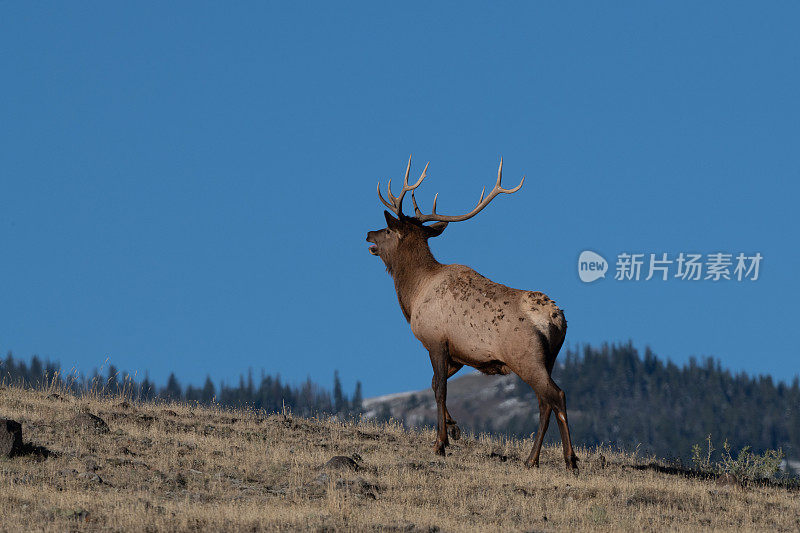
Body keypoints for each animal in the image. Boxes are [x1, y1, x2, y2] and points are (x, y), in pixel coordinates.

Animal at [366, 156, 580, 468]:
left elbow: (440, 388)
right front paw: (454, 429)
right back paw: (532, 459)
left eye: (388, 230)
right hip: (549, 358)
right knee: (545, 401)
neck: (414, 294)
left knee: (556, 395)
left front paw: (440, 443)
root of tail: (556, 318)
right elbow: (434, 383)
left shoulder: (435, 340)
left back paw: (569, 459)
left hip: (525, 357)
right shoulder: (460, 354)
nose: (368, 233)